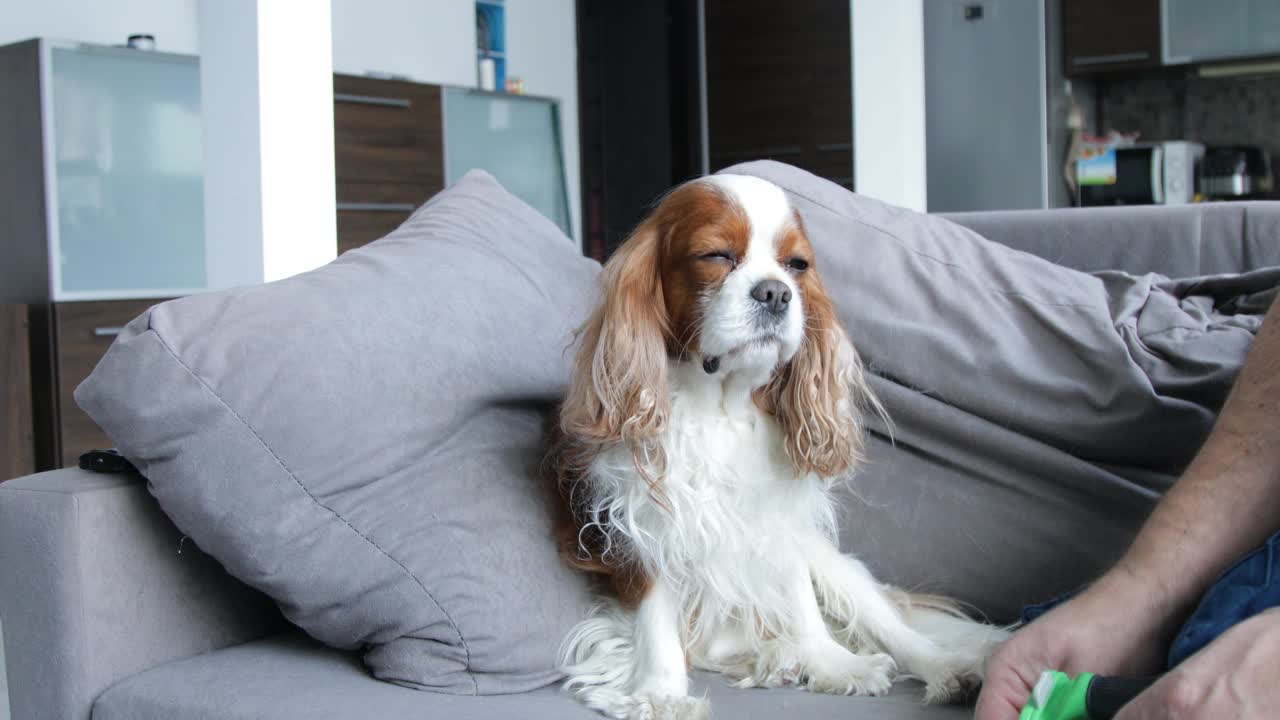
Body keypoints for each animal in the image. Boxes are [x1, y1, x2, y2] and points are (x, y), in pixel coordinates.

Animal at [545, 175, 1003, 717]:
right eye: (716, 255)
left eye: (797, 265)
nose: (776, 292)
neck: (721, 409)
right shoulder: (642, 526)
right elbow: (655, 618)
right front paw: (660, 692)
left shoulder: (779, 525)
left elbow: (800, 600)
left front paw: (832, 663)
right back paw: (774, 657)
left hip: (836, 567)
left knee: (892, 626)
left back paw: (947, 669)